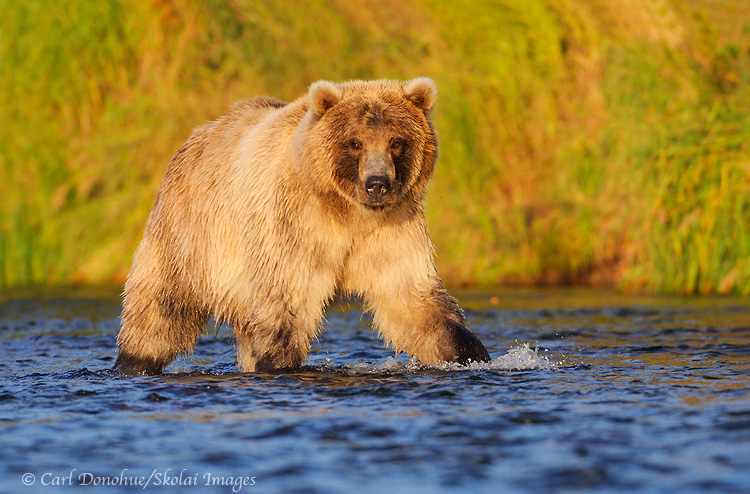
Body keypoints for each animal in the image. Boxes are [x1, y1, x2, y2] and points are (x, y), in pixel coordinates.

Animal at [114, 77, 490, 375]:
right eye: (355, 142)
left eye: (396, 141)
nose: (377, 183)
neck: (347, 212)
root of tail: (197, 135)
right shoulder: (293, 225)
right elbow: (288, 301)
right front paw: (279, 363)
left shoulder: (391, 229)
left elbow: (412, 300)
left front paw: (471, 353)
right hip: (189, 236)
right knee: (159, 310)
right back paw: (133, 362)